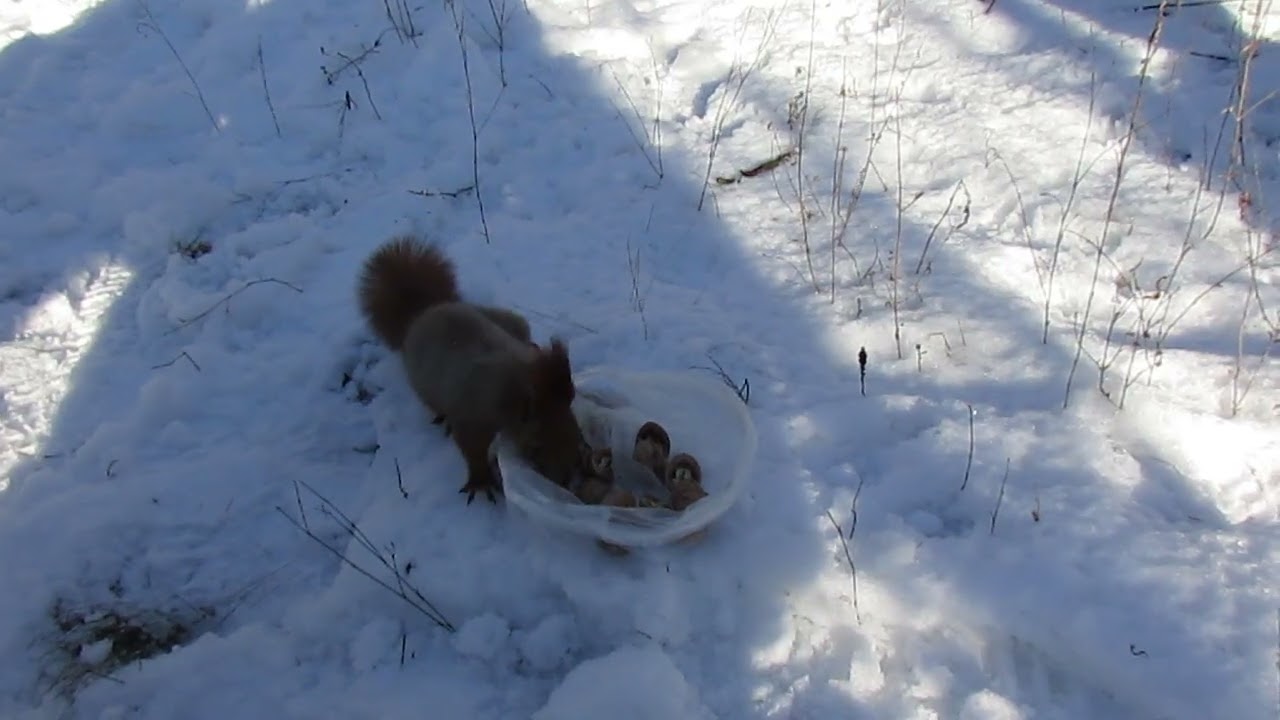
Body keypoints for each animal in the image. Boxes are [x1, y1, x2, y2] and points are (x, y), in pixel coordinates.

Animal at [357, 235, 588, 504]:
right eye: (536, 446)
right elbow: (471, 448)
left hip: (513, 322)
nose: (565, 480)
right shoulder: (472, 415)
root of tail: (426, 309)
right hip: (423, 382)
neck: (512, 387)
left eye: (577, 431)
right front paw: (481, 481)